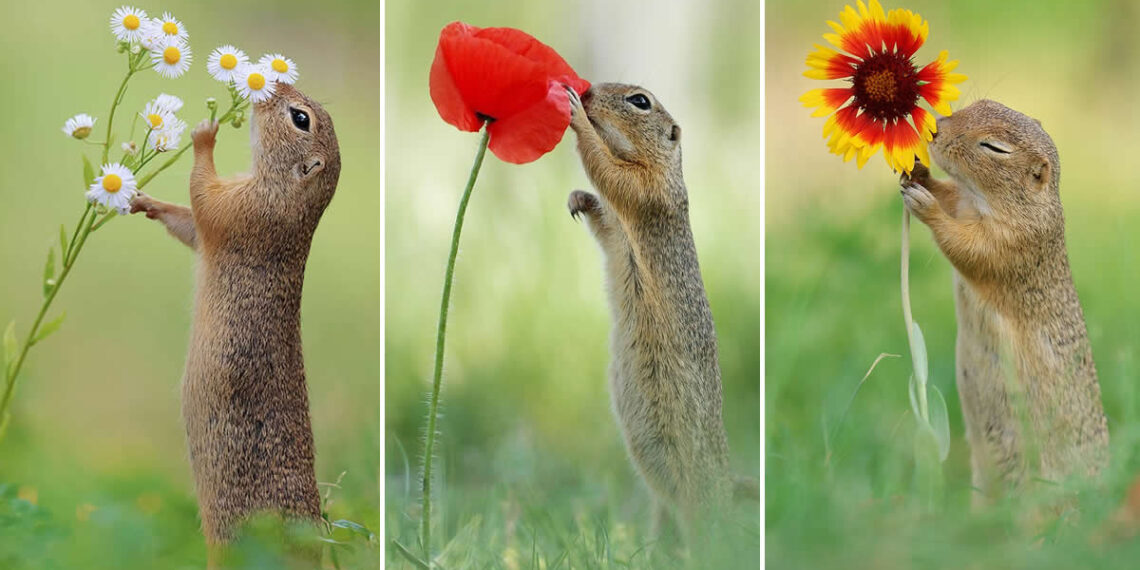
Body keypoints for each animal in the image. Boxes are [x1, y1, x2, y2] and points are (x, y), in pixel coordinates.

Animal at [129, 83, 341, 560]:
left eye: (300, 119)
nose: (273, 83)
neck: (289, 193)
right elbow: (189, 223)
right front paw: (143, 201)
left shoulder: (244, 209)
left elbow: (204, 196)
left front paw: (205, 132)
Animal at [564, 83, 736, 539]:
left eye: (640, 101)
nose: (588, 90)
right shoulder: (616, 227)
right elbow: (603, 216)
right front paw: (578, 199)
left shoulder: (646, 191)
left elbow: (610, 173)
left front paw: (576, 117)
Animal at [899, 99, 1108, 502]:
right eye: (980, 104)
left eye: (994, 148)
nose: (935, 128)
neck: (986, 201)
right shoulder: (963, 201)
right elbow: (949, 195)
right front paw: (917, 172)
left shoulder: (1010, 242)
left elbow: (965, 246)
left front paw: (925, 204)